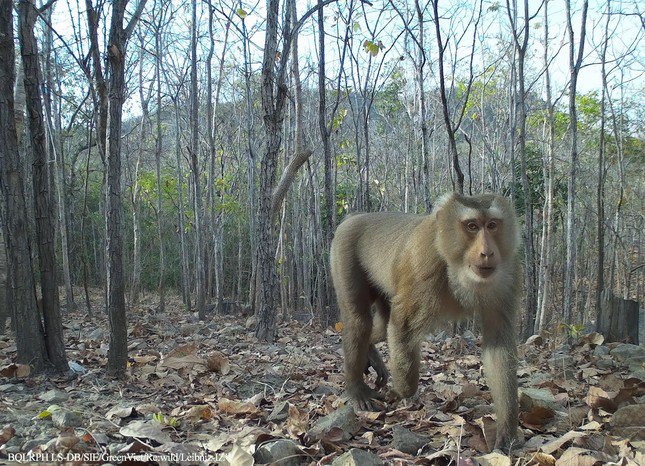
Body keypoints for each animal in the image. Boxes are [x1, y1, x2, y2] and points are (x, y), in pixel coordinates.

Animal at [330, 191, 520, 450]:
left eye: (492, 225)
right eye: (472, 226)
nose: (487, 252)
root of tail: (356, 216)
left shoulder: (507, 275)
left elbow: (498, 346)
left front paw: (507, 429)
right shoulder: (424, 263)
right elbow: (403, 327)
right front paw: (401, 391)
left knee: (380, 324)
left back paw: (370, 352)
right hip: (343, 250)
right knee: (359, 320)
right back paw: (356, 387)